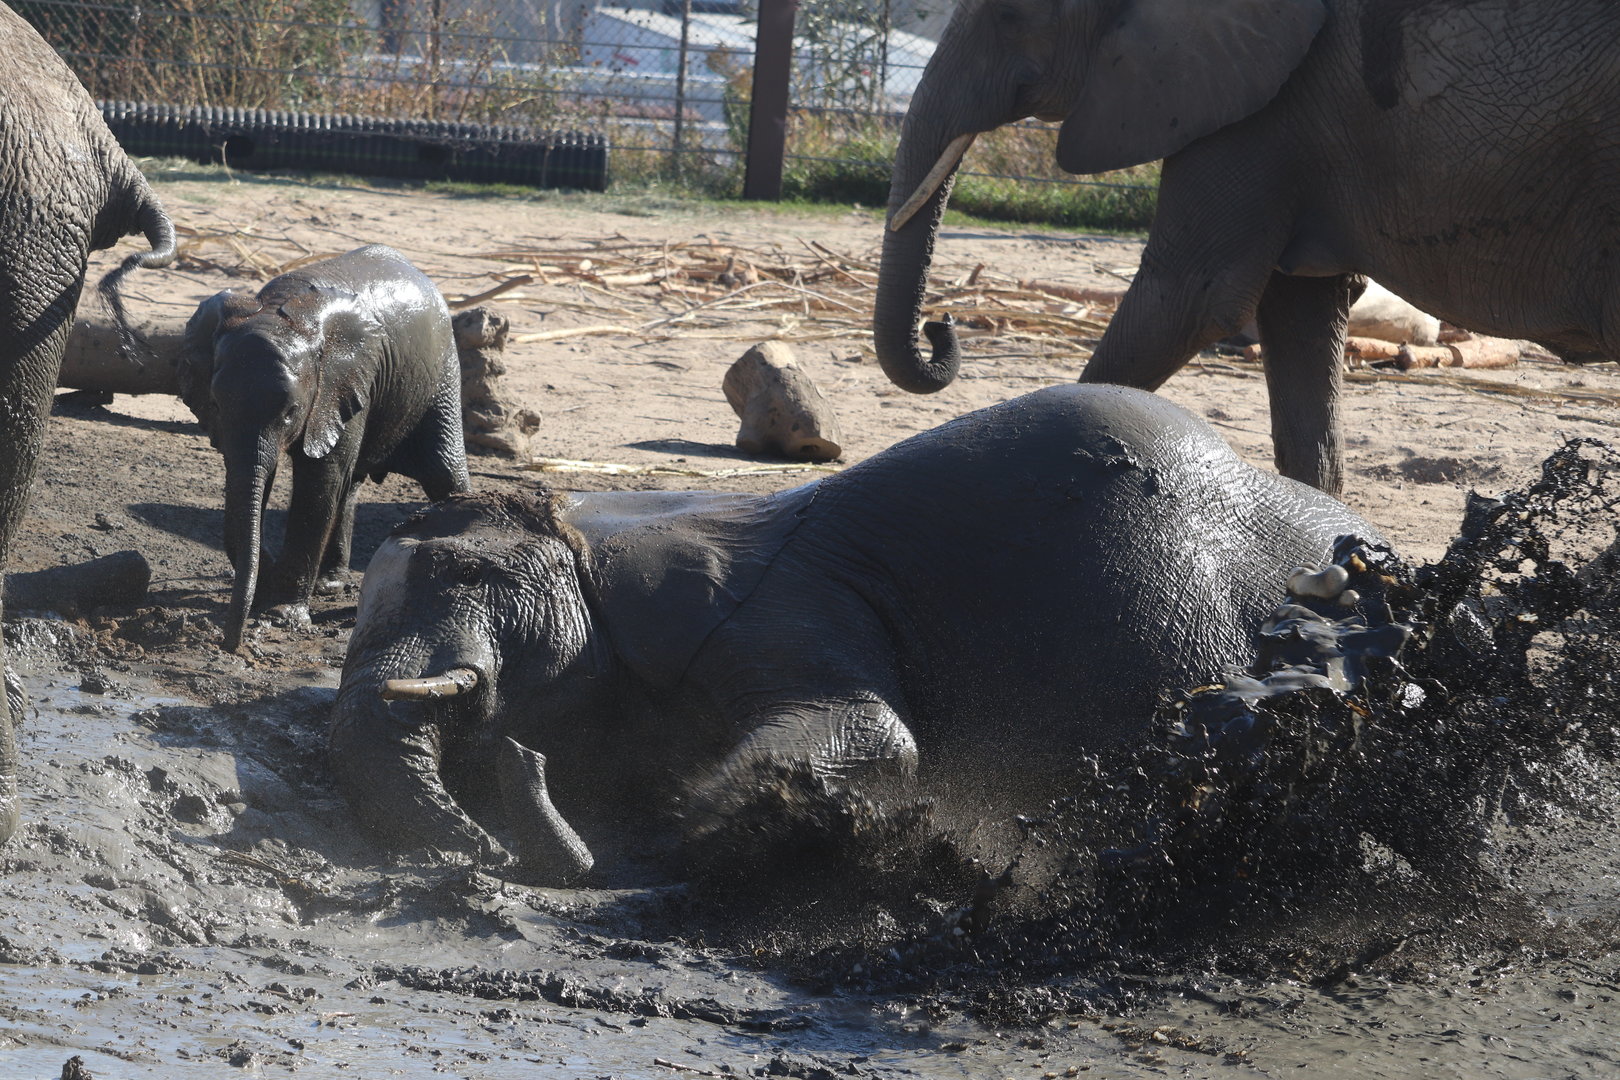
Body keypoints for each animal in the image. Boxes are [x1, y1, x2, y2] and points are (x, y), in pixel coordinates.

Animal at [178, 245, 471, 653]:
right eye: (217, 405)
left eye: (291, 412)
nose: (230, 643)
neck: (282, 309)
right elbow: (255, 479)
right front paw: (269, 588)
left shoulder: (342, 383)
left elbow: (318, 485)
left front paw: (282, 614)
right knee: (351, 487)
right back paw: (329, 584)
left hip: (441, 374)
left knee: (444, 475)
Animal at [329, 384, 1384, 886]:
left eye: (467, 574)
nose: (518, 767)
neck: (597, 520)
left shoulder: (780, 608)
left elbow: (879, 736)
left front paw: (699, 822)